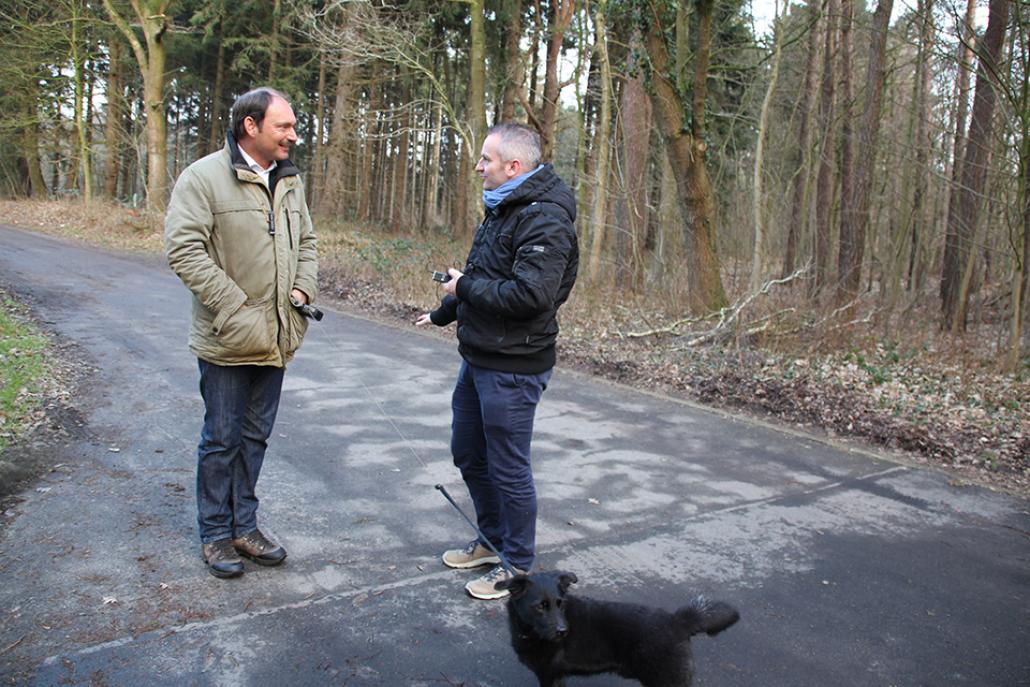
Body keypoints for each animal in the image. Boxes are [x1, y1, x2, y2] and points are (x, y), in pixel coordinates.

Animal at [496, 568, 741, 687]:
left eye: (560, 603)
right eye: (540, 606)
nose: (563, 632)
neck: (531, 632)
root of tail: (678, 620)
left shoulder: (548, 677)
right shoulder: (558, 677)